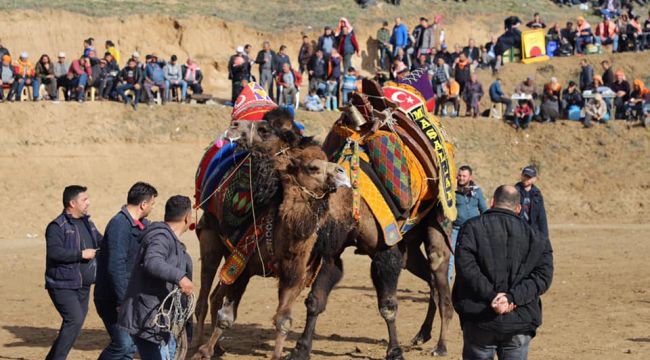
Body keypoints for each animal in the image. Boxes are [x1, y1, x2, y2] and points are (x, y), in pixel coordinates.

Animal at [192, 105, 454, 358]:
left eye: (266, 130)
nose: (234, 125)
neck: (350, 206)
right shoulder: (329, 252)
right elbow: (315, 301)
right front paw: (300, 349)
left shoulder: (383, 248)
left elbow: (388, 305)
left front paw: (395, 351)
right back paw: (422, 334)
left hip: (436, 221)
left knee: (438, 272)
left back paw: (440, 345)